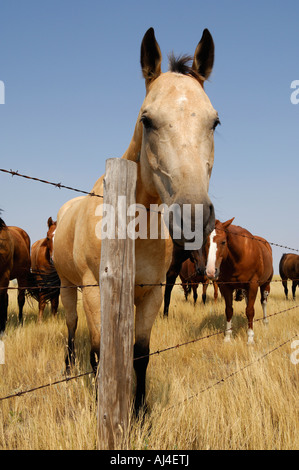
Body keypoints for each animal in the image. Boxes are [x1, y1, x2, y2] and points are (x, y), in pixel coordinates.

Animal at [53, 27, 218, 414]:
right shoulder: (94, 291)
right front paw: (102, 403)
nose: (193, 216)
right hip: (68, 287)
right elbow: (100, 354)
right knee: (71, 328)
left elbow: (140, 355)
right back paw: (68, 368)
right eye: (147, 120)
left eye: (214, 122)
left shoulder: (151, 295)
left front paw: (140, 411)